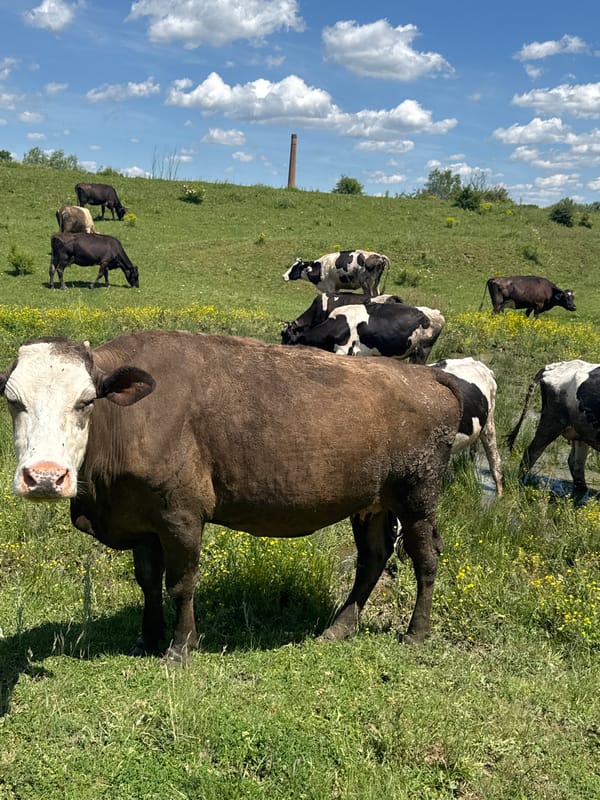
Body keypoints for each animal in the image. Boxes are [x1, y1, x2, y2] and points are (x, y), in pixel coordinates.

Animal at [0, 331, 463, 664]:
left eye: (85, 401)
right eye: (12, 401)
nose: (44, 477)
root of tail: (426, 375)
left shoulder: (181, 514)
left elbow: (180, 583)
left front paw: (180, 647)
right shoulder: (142, 518)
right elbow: (148, 580)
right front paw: (147, 638)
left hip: (417, 495)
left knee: (425, 558)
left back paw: (416, 632)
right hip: (371, 502)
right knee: (372, 558)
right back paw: (339, 627)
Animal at [507, 360, 600, 498]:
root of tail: (555, 365)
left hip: (581, 431)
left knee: (576, 463)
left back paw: (581, 493)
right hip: (552, 422)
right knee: (532, 452)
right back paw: (520, 486)